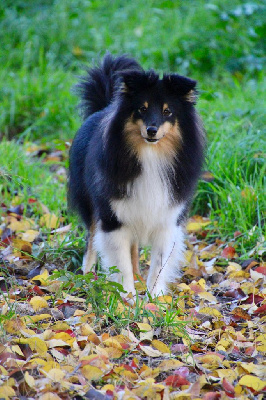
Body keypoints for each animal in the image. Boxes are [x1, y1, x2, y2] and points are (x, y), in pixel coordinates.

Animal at [68, 53, 204, 296]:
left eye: (167, 111)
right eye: (142, 108)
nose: (151, 130)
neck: (151, 155)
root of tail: (101, 108)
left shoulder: (167, 217)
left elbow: (159, 264)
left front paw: (153, 298)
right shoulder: (113, 217)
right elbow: (120, 265)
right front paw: (128, 299)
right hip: (91, 203)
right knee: (91, 240)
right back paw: (86, 278)